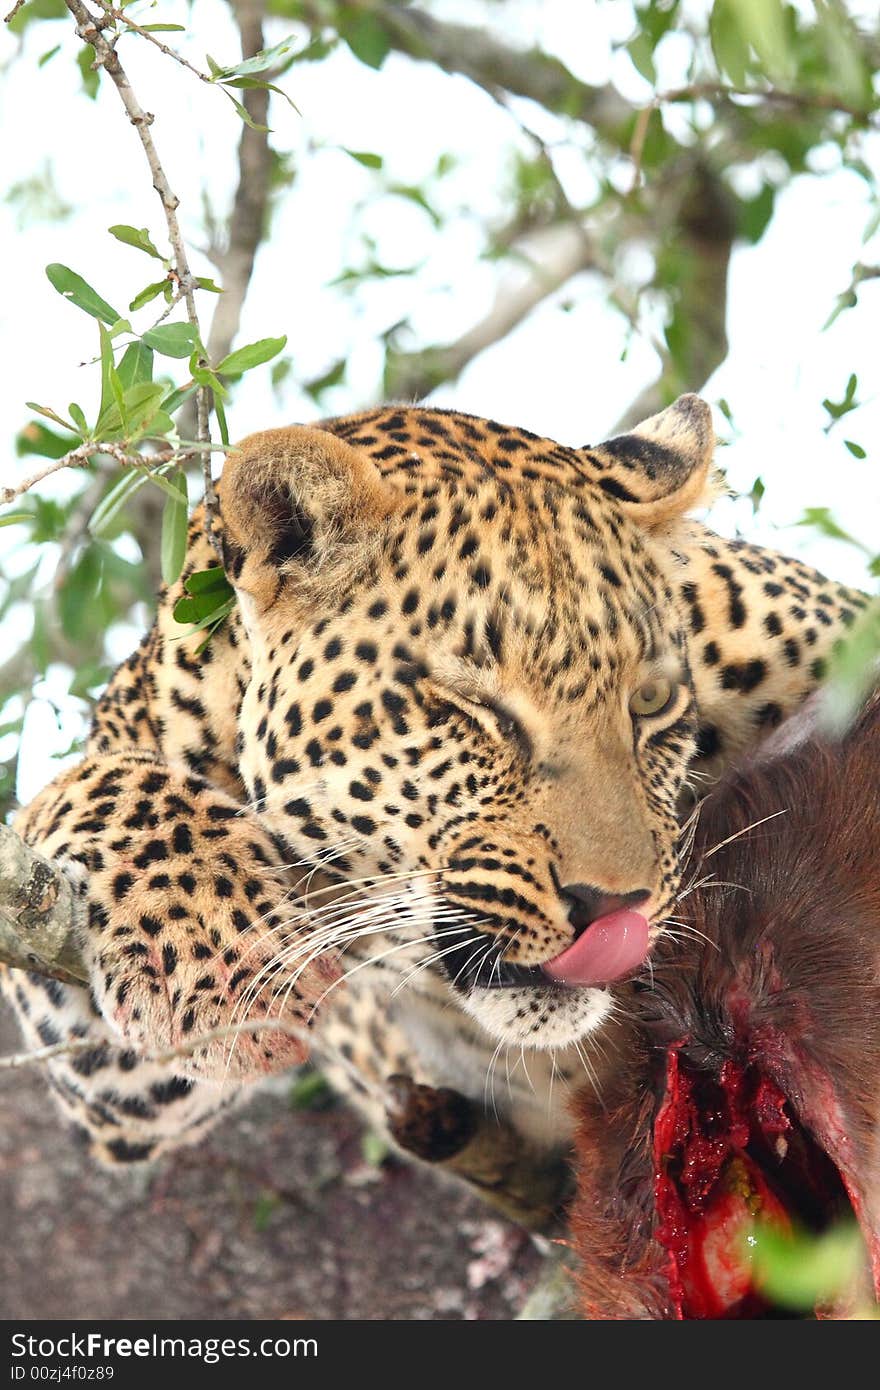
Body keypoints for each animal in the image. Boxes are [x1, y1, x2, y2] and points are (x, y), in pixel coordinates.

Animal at [0, 391, 867, 1228]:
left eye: (650, 702)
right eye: (469, 705)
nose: (615, 908)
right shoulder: (114, 1085)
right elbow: (84, 789)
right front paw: (214, 949)